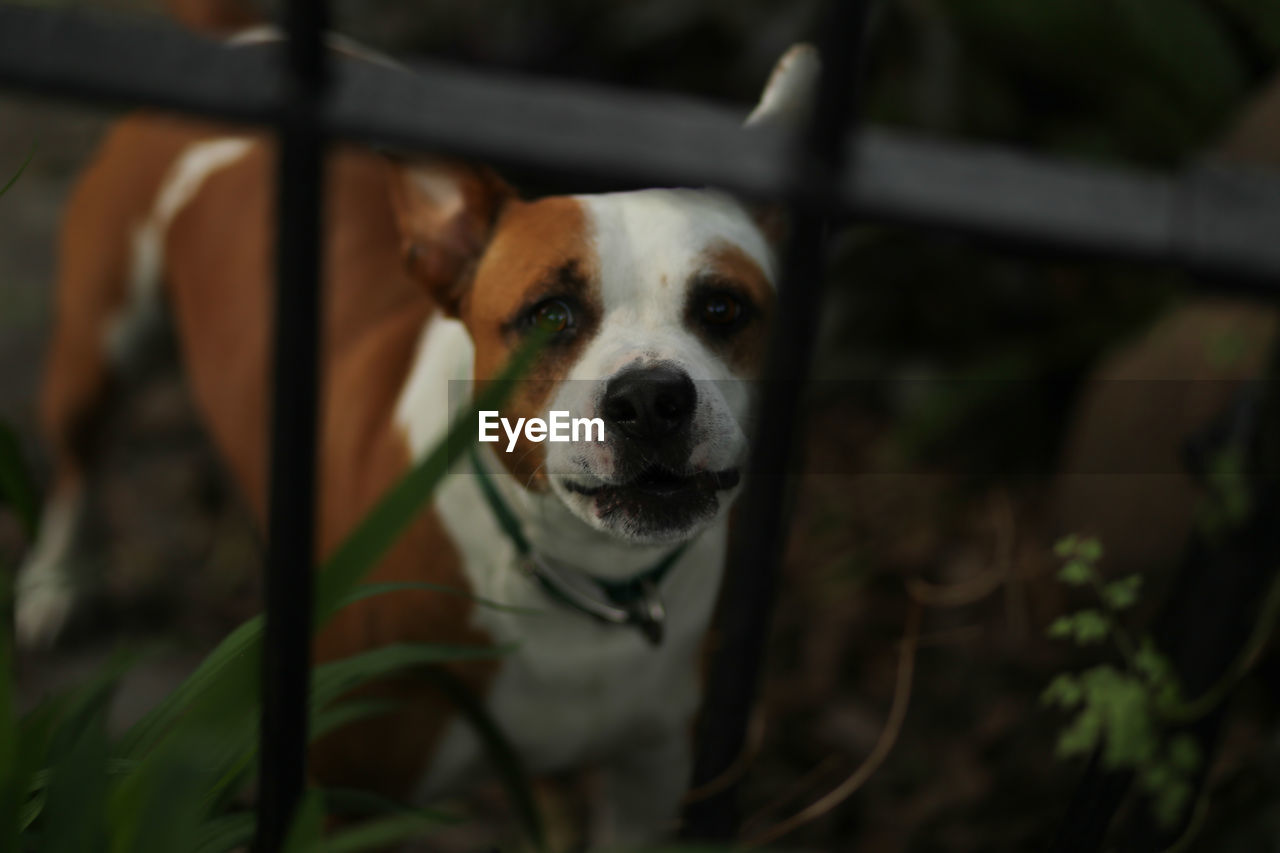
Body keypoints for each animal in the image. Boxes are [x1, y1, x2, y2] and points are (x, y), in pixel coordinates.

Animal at [15, 4, 819, 835]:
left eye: (724, 308)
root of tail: (238, 33)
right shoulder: (343, 792)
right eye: (550, 315)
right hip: (102, 339)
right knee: (77, 460)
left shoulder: (650, 781)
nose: (651, 398)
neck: (579, 573)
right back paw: (56, 583)